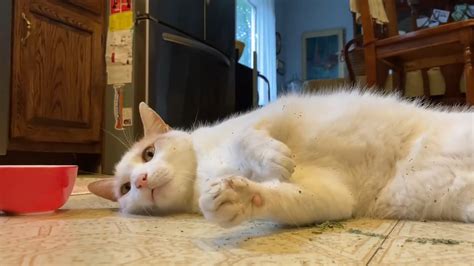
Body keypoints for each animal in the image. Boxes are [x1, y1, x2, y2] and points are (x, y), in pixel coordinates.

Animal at [90, 90, 474, 227]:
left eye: (149, 153)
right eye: (124, 189)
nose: (140, 180)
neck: (204, 170)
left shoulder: (278, 111)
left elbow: (248, 135)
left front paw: (274, 157)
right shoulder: (332, 194)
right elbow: (289, 198)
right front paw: (237, 198)